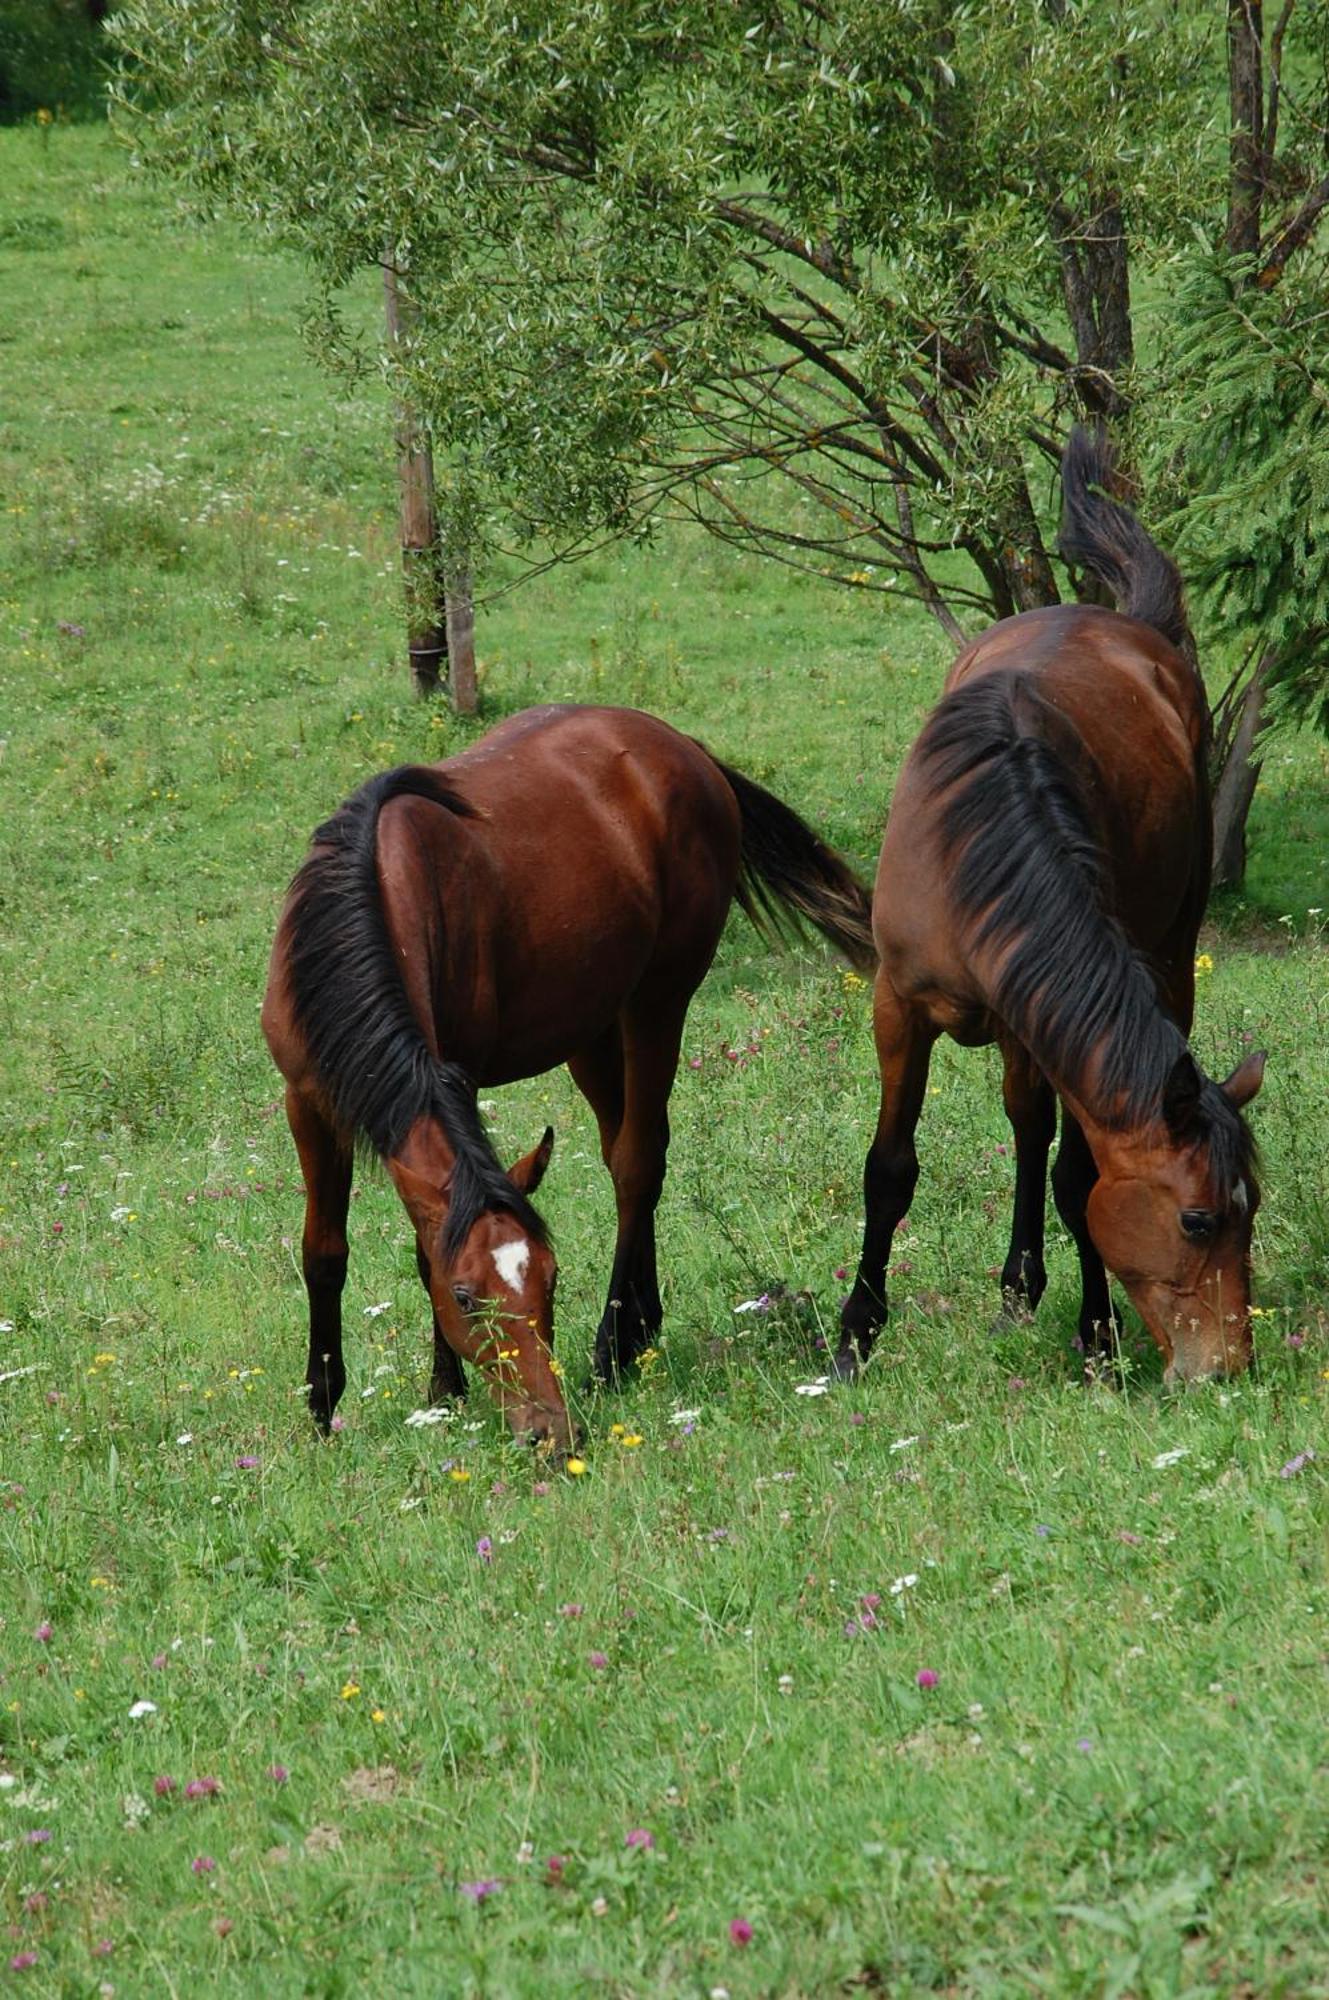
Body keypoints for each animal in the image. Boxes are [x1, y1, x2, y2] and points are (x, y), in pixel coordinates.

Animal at [264, 708, 876, 1456]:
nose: (550, 1430)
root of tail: (682, 748)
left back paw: (612, 1350)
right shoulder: (307, 1102)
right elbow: (325, 1253)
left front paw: (442, 1389)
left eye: (551, 1282)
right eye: (466, 1296)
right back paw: (640, 1324)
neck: (370, 900)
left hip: (657, 1001)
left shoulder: (457, 1082)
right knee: (625, 1153)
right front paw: (323, 1406)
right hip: (592, 1028)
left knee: (638, 1162)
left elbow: (419, 1244)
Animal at [840, 430, 1264, 1384]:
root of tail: (1120, 620)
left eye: (1252, 1210)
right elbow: (888, 1169)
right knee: (1024, 1125)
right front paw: (853, 1334)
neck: (974, 850)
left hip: (1163, 953)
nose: (1227, 1365)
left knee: (1035, 1130)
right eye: (1199, 1220)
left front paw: (1096, 1335)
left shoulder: (1040, 1013)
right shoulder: (896, 1003)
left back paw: (1024, 1286)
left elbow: (1078, 1176)